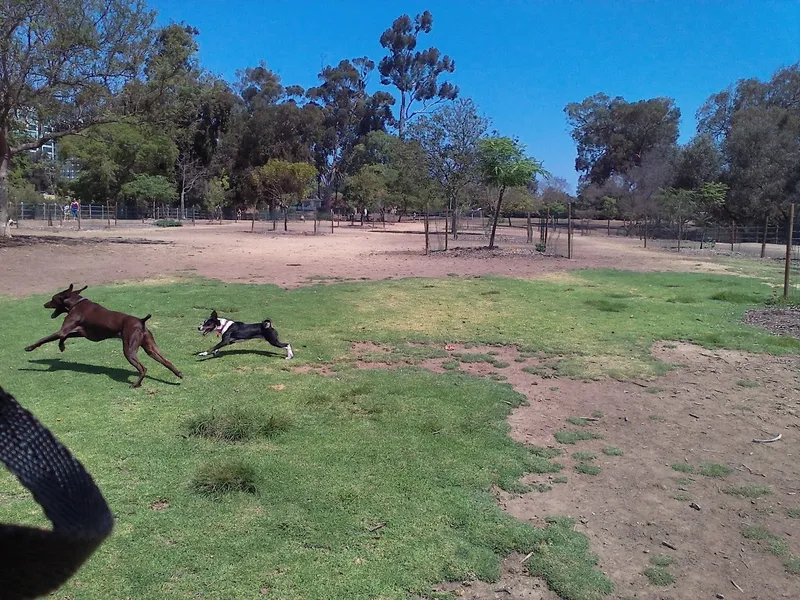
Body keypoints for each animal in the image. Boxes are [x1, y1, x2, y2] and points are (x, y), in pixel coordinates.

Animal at [24, 284, 184, 390]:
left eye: (52, 299)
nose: (44, 304)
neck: (76, 303)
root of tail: (141, 321)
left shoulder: (64, 330)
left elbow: (45, 338)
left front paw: (29, 348)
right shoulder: (81, 333)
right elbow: (64, 337)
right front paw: (61, 346)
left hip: (129, 349)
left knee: (143, 368)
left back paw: (136, 384)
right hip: (151, 348)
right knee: (166, 361)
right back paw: (179, 374)